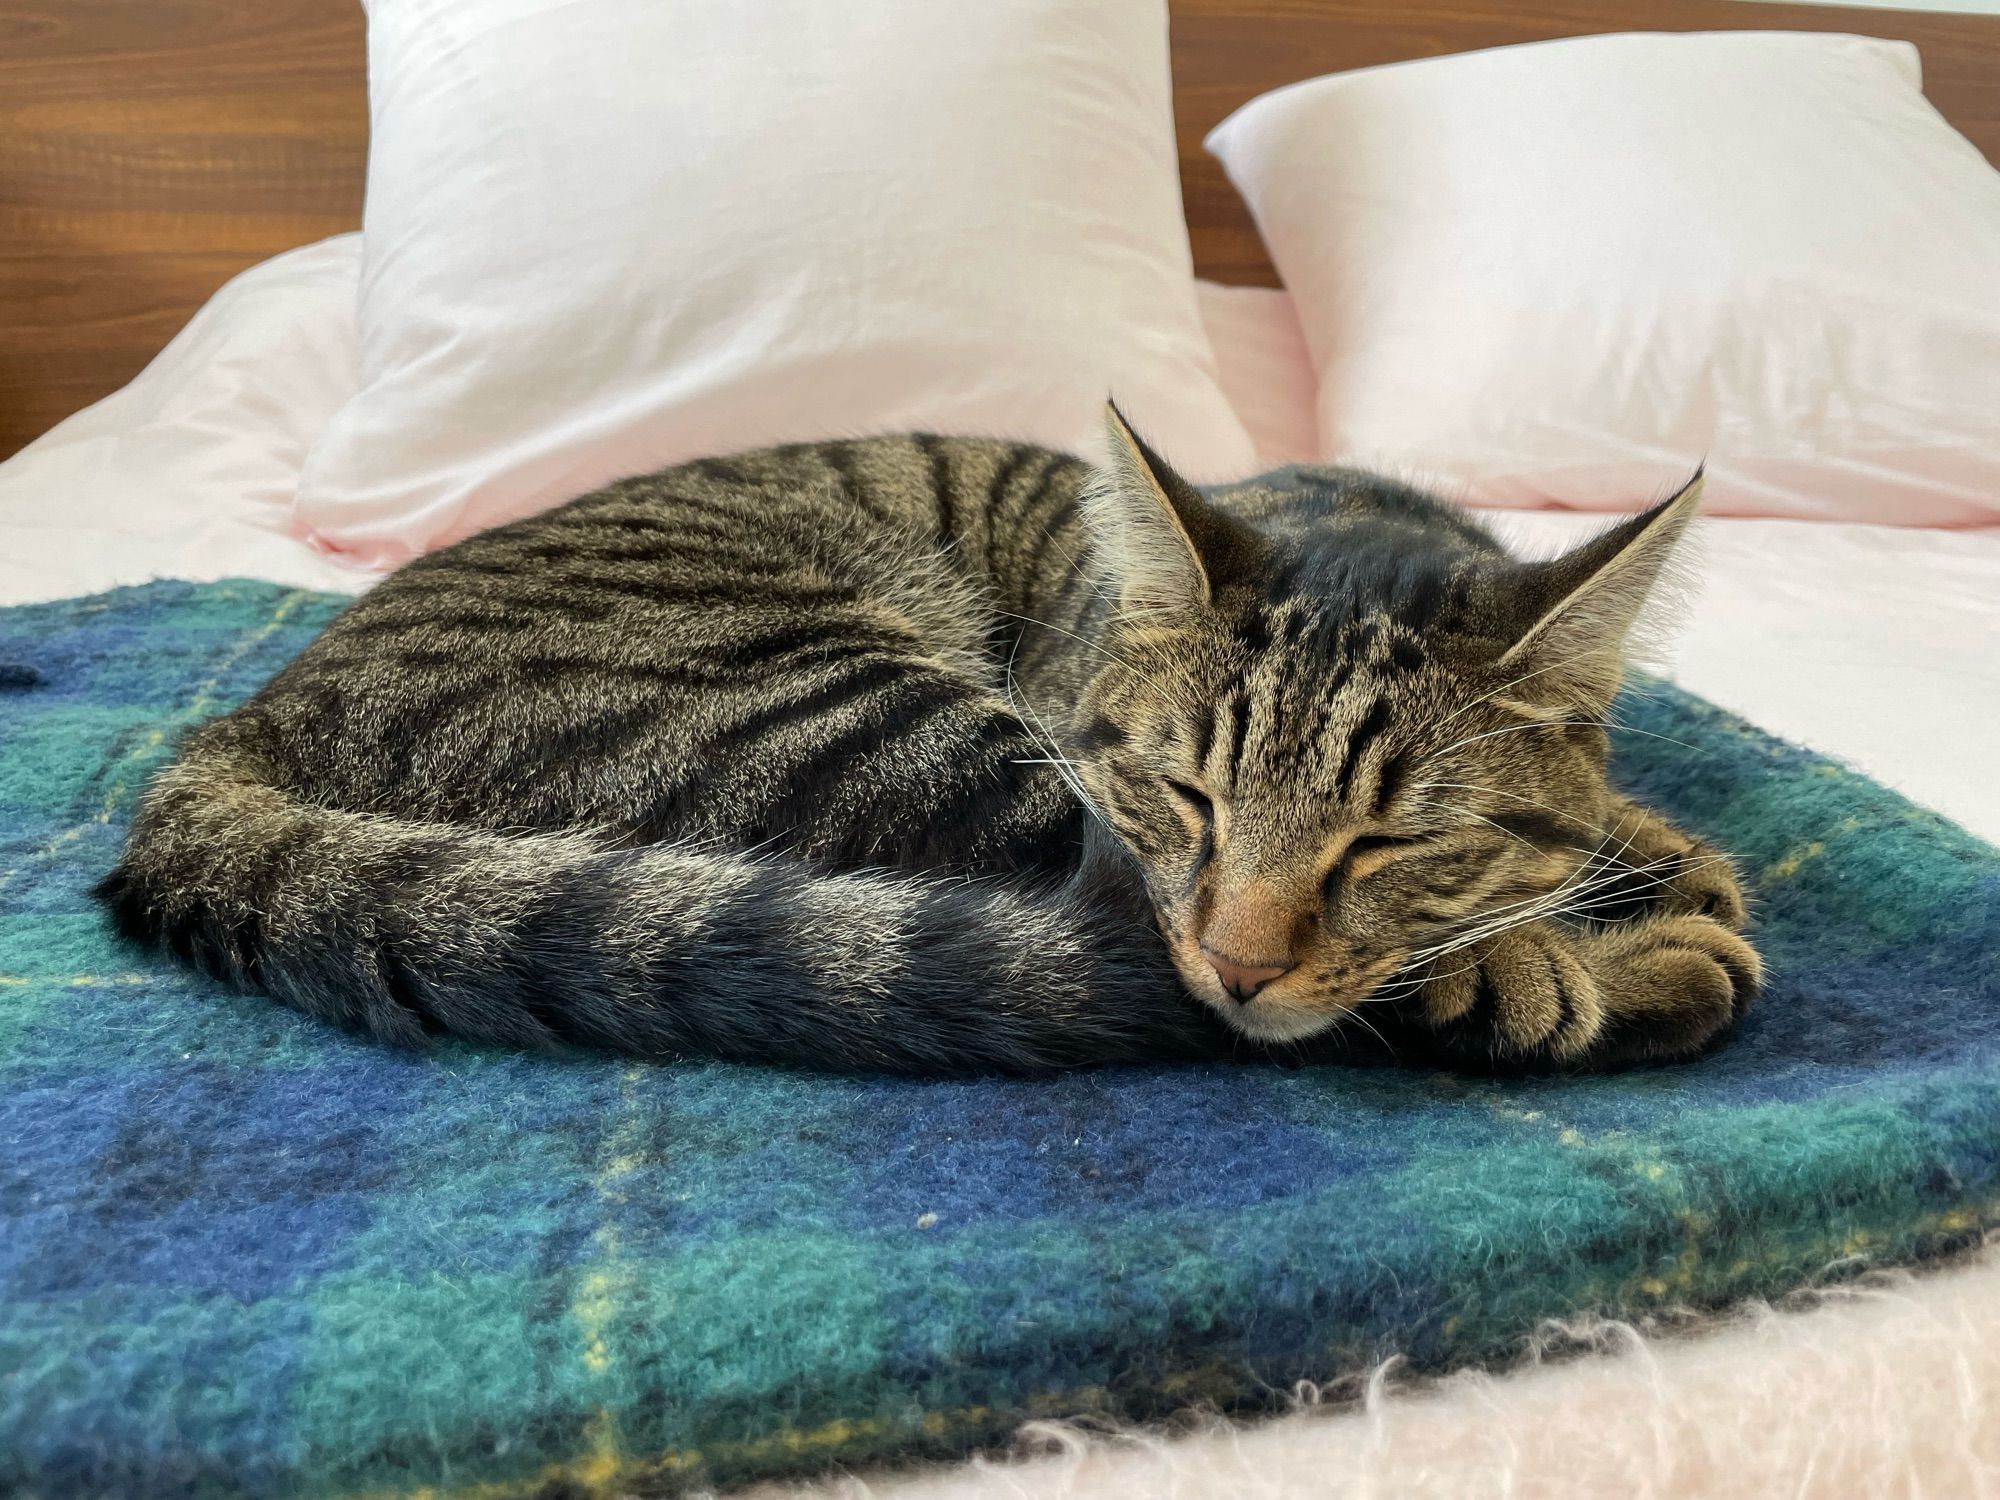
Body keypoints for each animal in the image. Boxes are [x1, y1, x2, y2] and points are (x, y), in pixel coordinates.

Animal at [97, 406, 1752, 1072]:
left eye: (1392, 839)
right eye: (1185, 797)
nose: (1240, 961)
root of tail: (246, 718)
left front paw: (1653, 849)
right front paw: (1561, 949)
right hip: (875, 723)